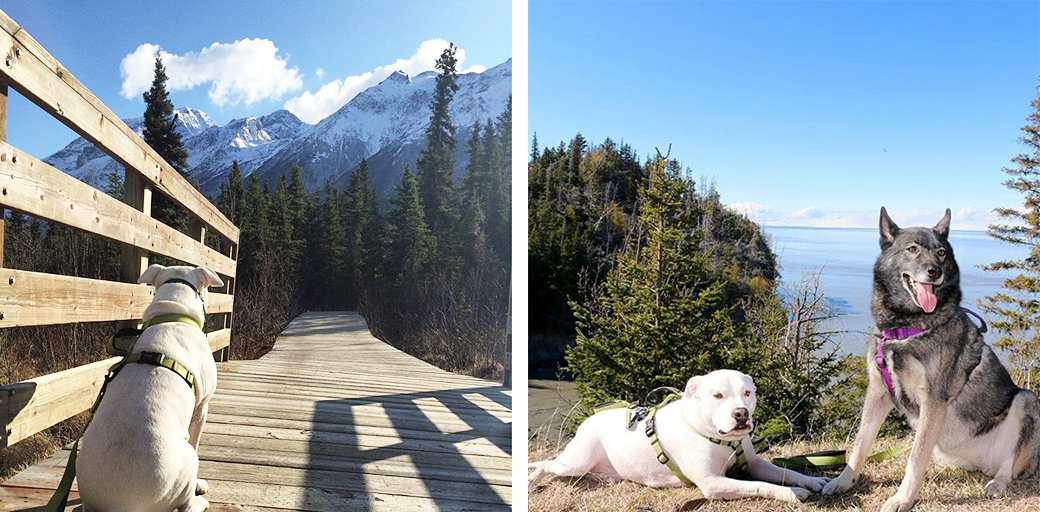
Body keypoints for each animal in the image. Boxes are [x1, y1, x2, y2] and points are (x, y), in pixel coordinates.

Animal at [76, 266, 223, 509]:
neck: (172, 314)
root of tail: (120, 506)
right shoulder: (203, 406)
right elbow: (196, 439)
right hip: (186, 463)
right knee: (187, 504)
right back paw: (199, 498)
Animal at [528, 370, 827, 501]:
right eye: (718, 395)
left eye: (747, 393)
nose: (741, 414)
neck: (719, 438)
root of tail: (590, 419)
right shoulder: (714, 483)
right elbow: (760, 486)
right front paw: (791, 493)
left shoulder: (754, 463)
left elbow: (785, 471)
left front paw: (812, 481)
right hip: (574, 462)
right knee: (547, 464)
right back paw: (532, 480)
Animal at [823, 206, 1035, 509]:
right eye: (912, 249)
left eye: (942, 252)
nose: (935, 271)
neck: (905, 329)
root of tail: (982, 465)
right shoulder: (878, 393)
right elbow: (860, 445)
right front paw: (844, 481)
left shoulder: (932, 400)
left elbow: (915, 456)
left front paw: (902, 498)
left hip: (1026, 400)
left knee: (1008, 463)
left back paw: (997, 483)